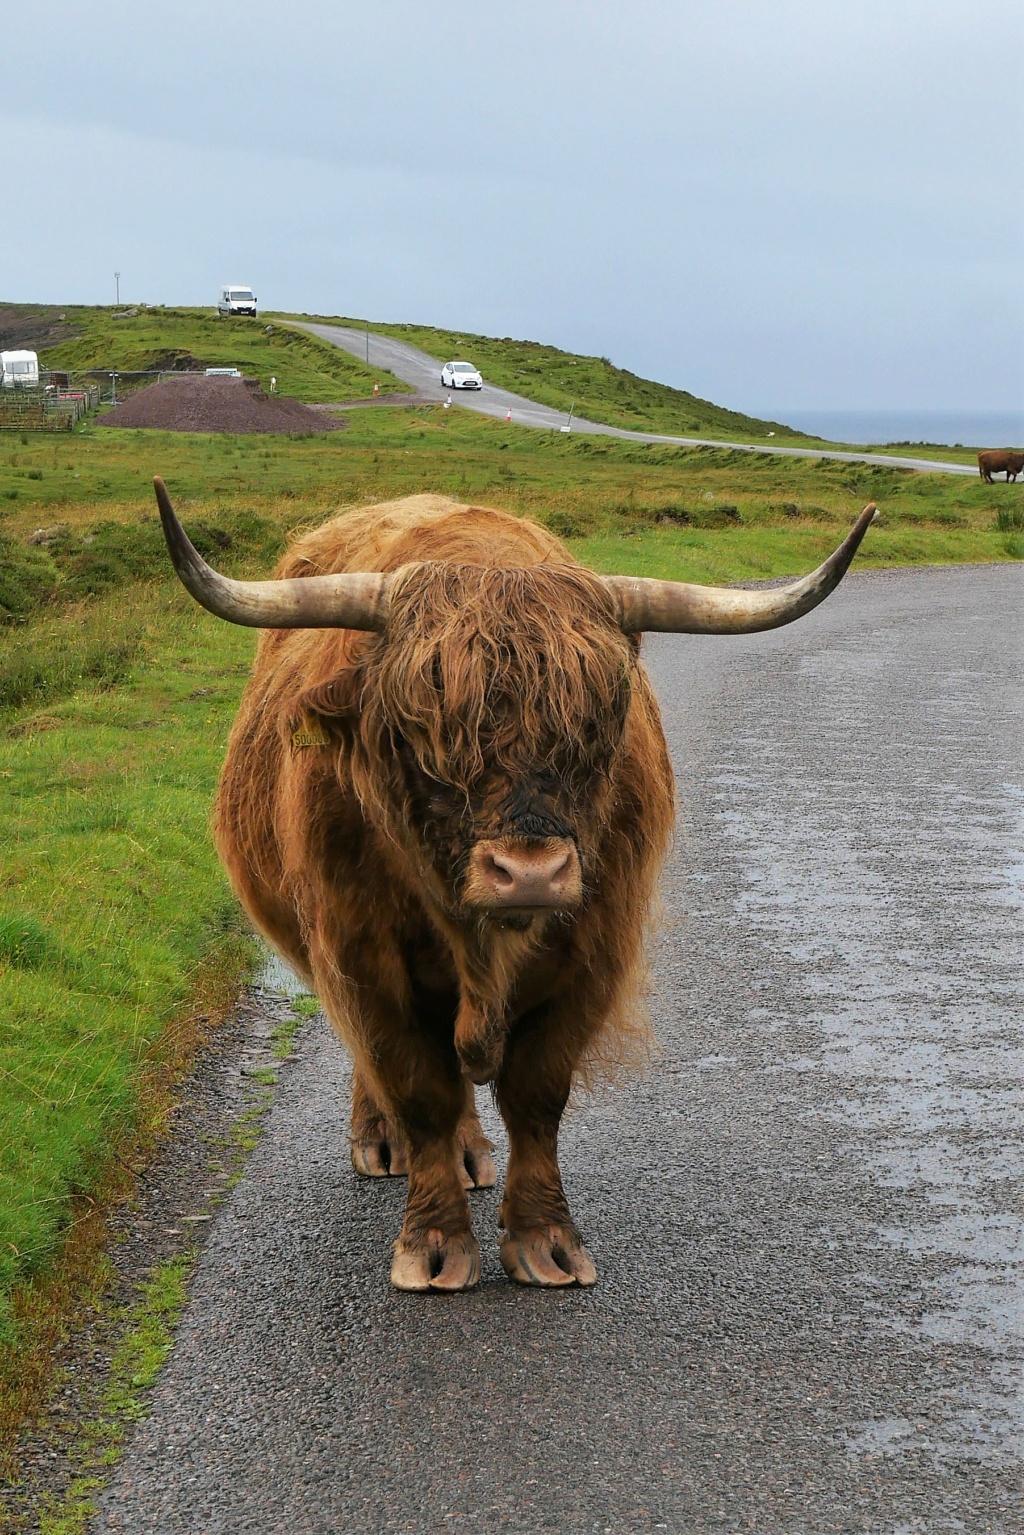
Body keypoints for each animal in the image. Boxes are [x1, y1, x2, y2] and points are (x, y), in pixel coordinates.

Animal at [156, 481, 878, 1295]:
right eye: (417, 732)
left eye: (597, 726)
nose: (530, 872)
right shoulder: (360, 956)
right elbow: (417, 1087)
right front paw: (435, 1243)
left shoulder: (594, 952)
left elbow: (537, 1094)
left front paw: (546, 1239)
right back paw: (382, 1142)